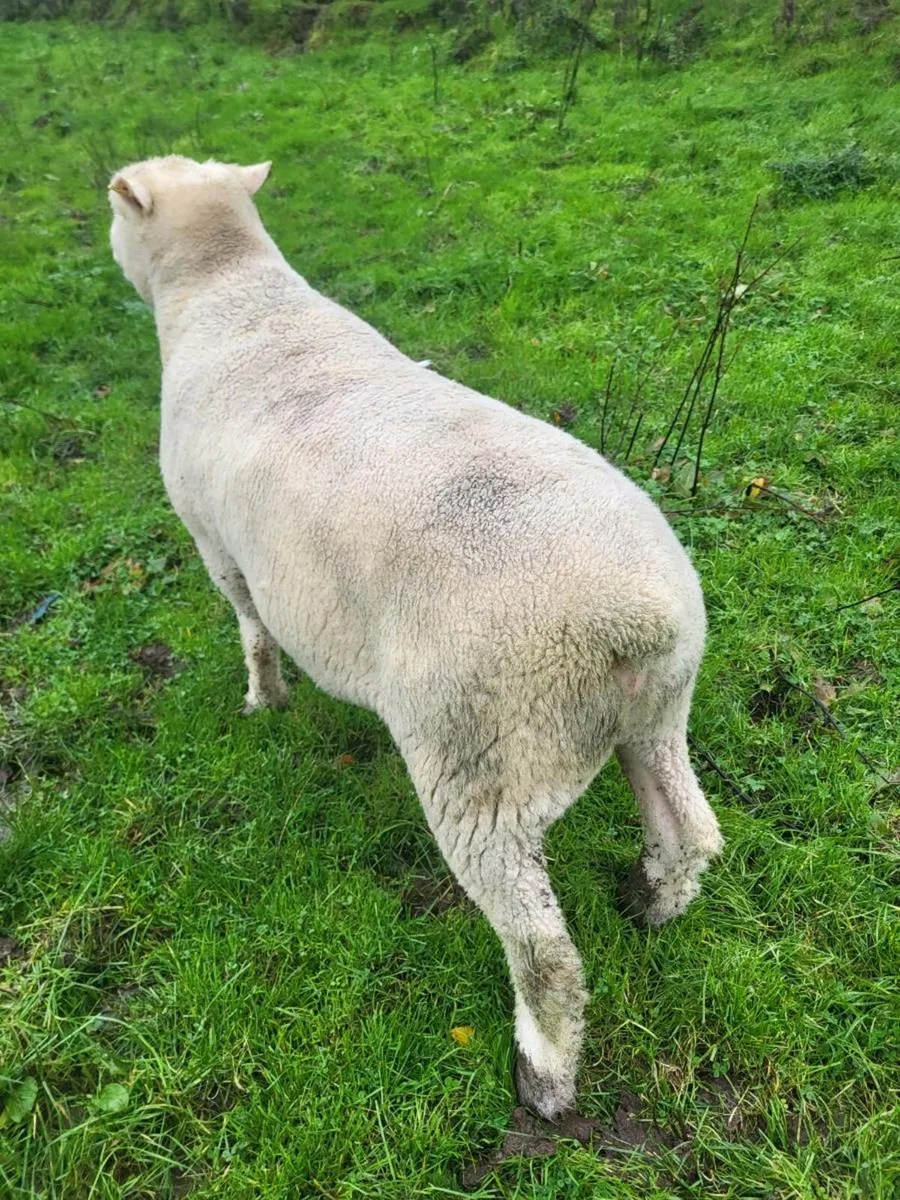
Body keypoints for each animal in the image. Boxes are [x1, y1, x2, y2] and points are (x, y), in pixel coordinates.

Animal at [108, 155, 723, 1120]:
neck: (229, 291)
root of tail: (635, 622)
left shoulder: (218, 547)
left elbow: (252, 629)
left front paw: (264, 700)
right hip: (655, 713)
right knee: (691, 831)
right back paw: (651, 905)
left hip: (482, 764)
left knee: (545, 955)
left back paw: (544, 1077)